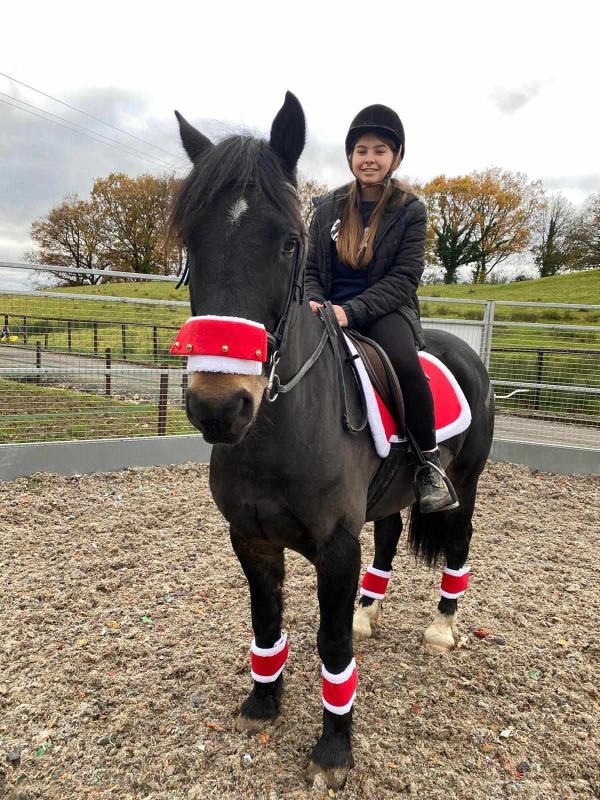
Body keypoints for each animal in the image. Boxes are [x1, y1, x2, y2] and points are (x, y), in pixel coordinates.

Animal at [169, 90, 492, 784]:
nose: (219, 408)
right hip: (388, 495)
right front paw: (263, 702)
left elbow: (332, 643)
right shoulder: (250, 538)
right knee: (391, 537)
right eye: (190, 240)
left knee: (457, 543)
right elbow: (267, 621)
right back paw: (373, 612)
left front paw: (334, 750)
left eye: (290, 243)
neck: (279, 432)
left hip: (467, 482)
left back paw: (441, 630)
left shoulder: (336, 547)